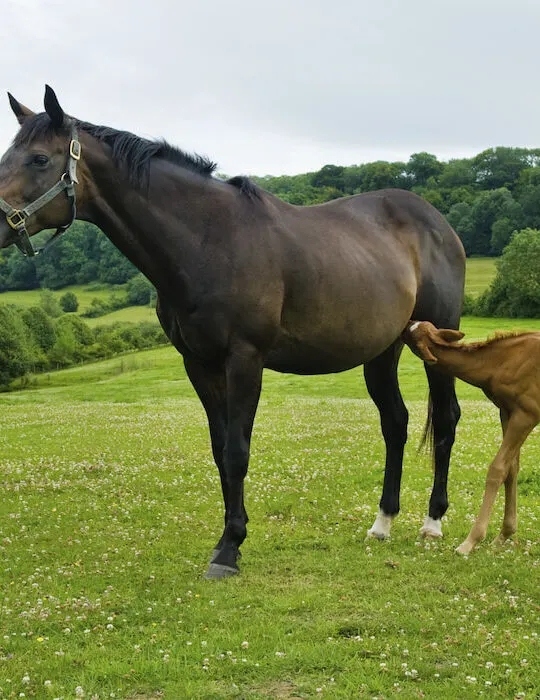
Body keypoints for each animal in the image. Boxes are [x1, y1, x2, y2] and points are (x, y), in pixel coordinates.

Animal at [0, 87, 464, 580]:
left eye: (38, 160)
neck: (209, 241)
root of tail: (437, 221)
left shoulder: (245, 359)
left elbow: (238, 452)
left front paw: (229, 549)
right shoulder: (200, 364)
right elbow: (221, 450)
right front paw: (227, 539)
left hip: (438, 339)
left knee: (446, 418)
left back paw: (432, 521)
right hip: (381, 351)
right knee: (395, 422)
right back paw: (383, 522)